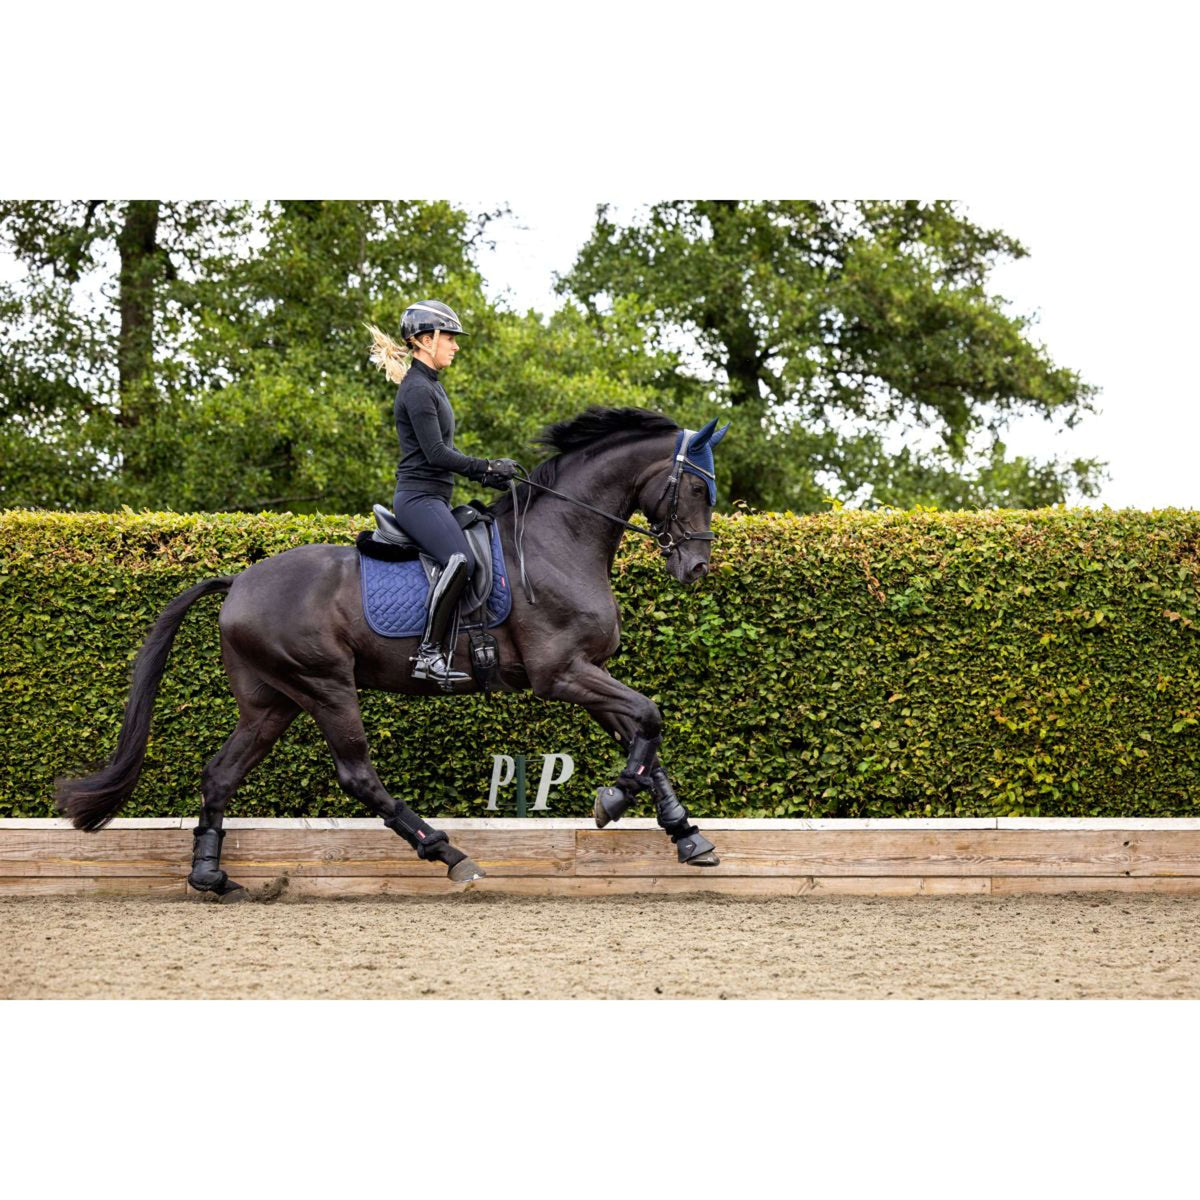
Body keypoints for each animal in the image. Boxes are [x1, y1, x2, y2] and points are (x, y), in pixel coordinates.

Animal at [54, 408, 729, 897]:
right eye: (697, 487)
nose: (696, 568)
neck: (559, 540)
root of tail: (238, 581)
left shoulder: (589, 670)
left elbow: (644, 735)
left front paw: (686, 835)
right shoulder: (560, 673)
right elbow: (650, 717)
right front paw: (613, 801)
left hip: (272, 701)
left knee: (220, 773)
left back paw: (210, 876)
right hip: (326, 686)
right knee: (358, 775)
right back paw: (449, 854)